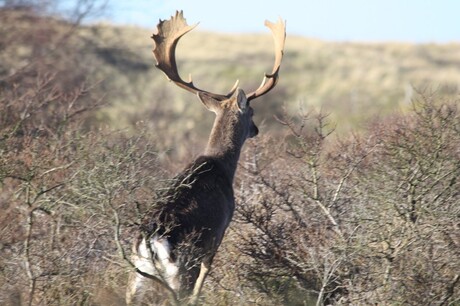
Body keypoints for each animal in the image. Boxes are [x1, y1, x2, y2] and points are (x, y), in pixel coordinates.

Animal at [126, 10, 284, 304]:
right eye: (252, 112)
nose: (256, 130)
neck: (221, 165)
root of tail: (150, 241)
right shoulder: (219, 232)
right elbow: (204, 277)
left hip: (137, 272)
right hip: (182, 264)